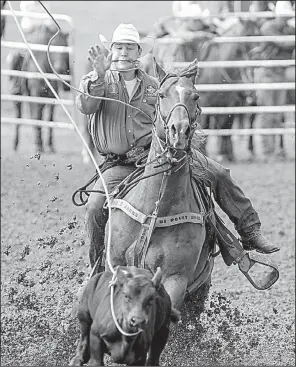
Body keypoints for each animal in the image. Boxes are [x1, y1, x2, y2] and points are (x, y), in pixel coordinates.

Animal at [103, 59, 216, 310]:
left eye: (195, 96)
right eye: (161, 95)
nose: (179, 130)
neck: (155, 209)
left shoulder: (175, 279)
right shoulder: (116, 266)